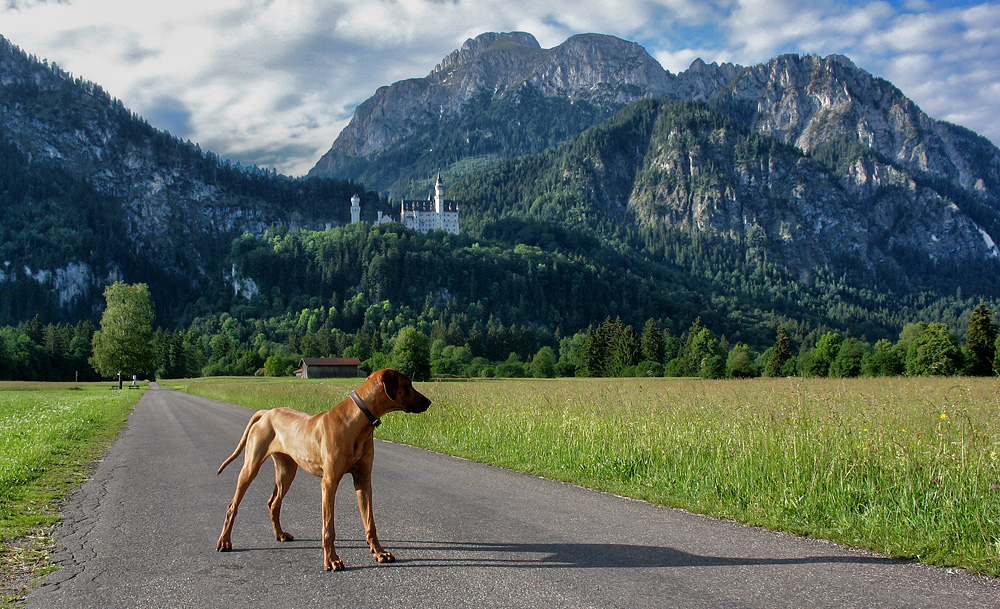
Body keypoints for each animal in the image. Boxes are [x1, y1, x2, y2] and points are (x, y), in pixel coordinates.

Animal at [215, 366, 430, 568]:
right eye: (408, 384)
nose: (428, 402)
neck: (358, 421)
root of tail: (267, 412)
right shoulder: (329, 482)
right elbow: (328, 527)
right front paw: (332, 560)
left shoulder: (363, 479)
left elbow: (370, 521)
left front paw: (379, 552)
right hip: (250, 467)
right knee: (232, 506)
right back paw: (224, 541)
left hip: (287, 471)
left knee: (273, 502)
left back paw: (280, 534)